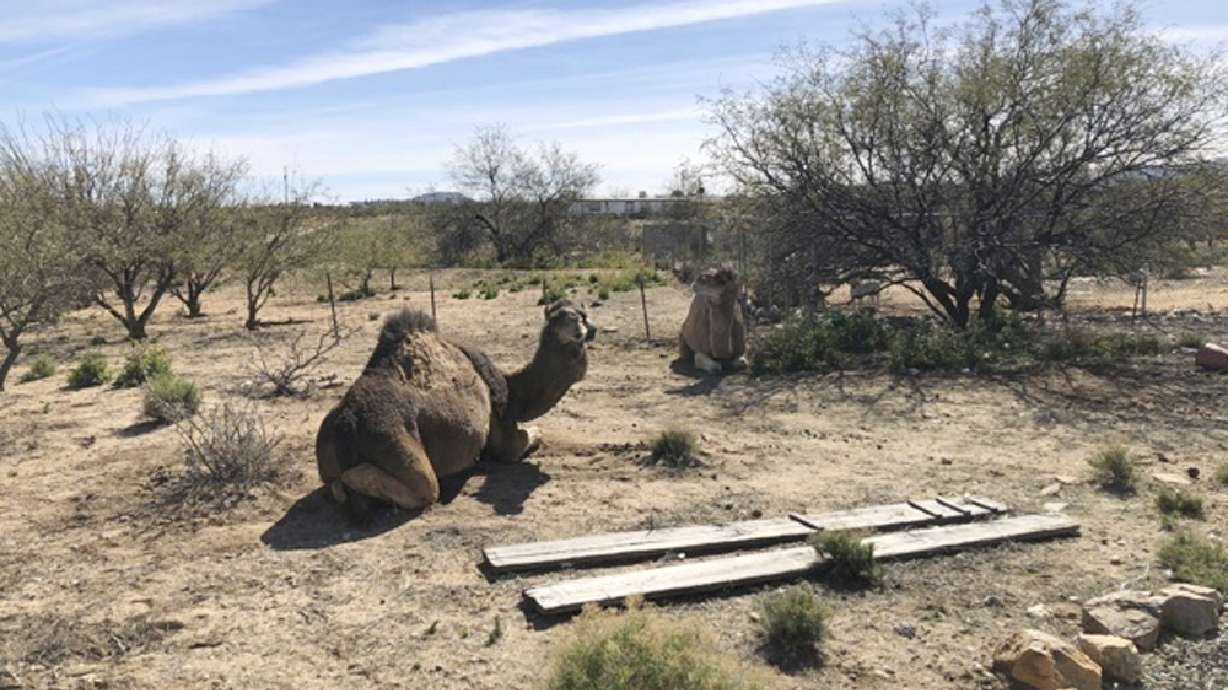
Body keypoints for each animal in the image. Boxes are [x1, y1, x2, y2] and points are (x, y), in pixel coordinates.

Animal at [315, 301, 596, 521]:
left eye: (582, 314)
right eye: (574, 318)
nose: (588, 328)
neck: (512, 389)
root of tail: (346, 426)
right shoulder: (504, 433)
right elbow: (531, 437)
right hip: (395, 443)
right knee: (424, 488)